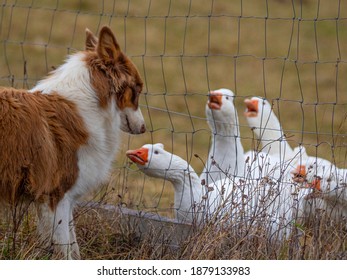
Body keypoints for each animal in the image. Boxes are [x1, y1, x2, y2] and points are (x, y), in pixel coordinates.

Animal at [0, 26, 147, 258]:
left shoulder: (64, 199)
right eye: (137, 90)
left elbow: (73, 247)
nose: (143, 128)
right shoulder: (55, 196)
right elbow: (65, 251)